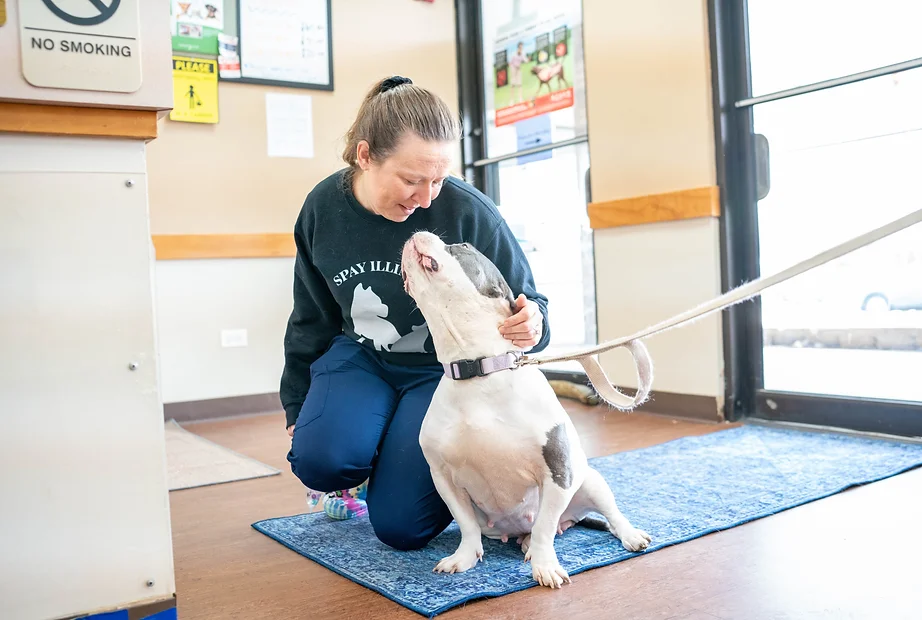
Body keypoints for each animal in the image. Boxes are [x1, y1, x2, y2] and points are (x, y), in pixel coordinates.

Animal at [398, 230, 652, 588]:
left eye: (463, 246)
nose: (417, 231)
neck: (479, 368)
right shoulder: (444, 478)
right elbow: (466, 525)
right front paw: (464, 557)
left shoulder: (557, 472)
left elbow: (545, 525)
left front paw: (545, 565)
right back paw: (526, 541)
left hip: (591, 481)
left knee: (603, 516)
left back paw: (628, 535)